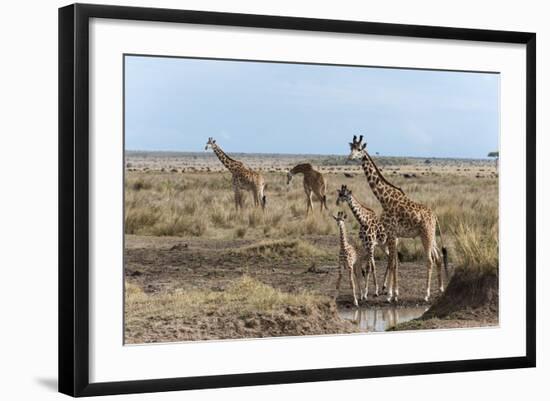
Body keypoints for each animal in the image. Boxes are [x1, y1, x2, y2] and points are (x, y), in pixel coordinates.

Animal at [350, 134, 448, 300]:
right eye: (350, 148)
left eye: (359, 149)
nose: (350, 157)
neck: (384, 199)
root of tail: (435, 216)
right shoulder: (394, 235)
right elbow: (393, 262)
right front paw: (393, 293)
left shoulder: (391, 233)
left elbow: (392, 262)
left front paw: (390, 294)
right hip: (431, 235)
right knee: (438, 256)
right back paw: (440, 289)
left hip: (426, 235)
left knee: (430, 260)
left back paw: (426, 294)